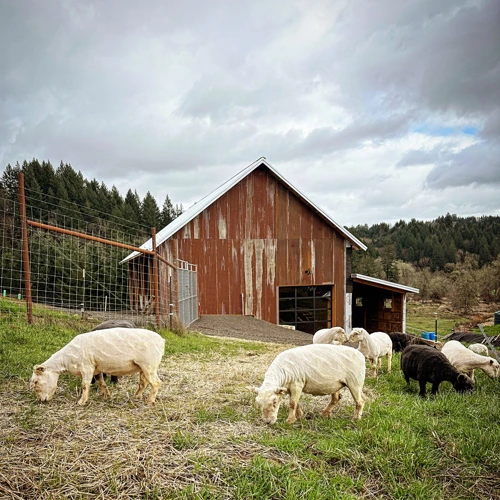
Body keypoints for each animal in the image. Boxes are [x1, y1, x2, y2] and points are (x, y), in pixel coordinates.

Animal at [29, 328, 164, 406]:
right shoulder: (96, 369)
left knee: (156, 383)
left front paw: (81, 402)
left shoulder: (86, 367)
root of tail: (162, 341)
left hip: (149, 365)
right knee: (143, 383)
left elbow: (84, 385)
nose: (41, 401)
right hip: (143, 367)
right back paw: (136, 396)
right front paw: (106, 396)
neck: (66, 360)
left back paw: (149, 401)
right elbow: (101, 383)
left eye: (36, 382)